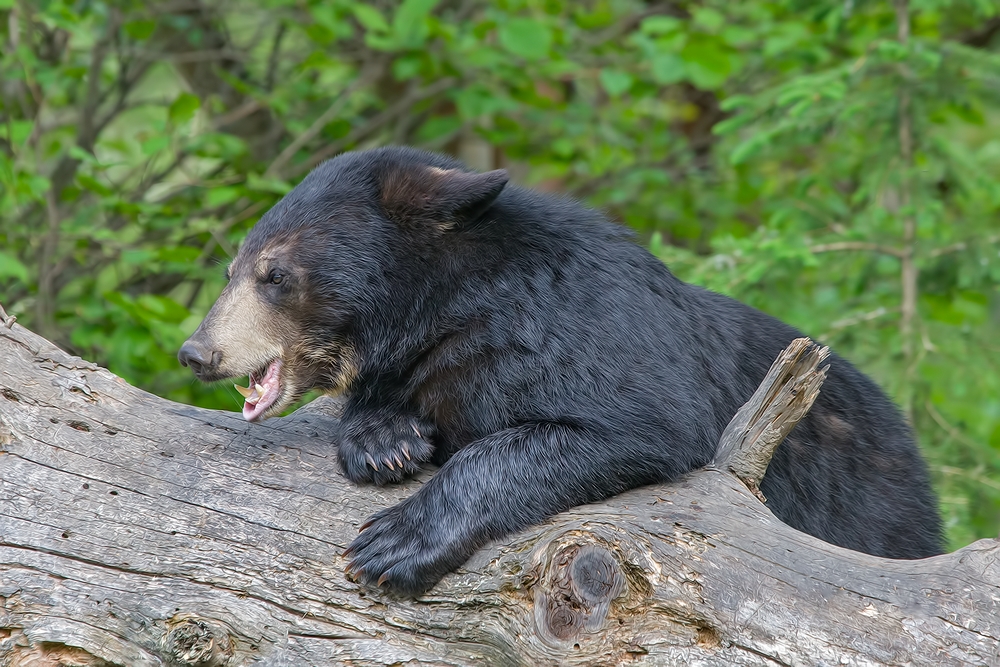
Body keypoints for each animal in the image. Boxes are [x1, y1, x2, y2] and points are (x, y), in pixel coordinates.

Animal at [182, 145, 944, 596]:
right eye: (230, 268)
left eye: (273, 273)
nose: (197, 351)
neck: (451, 303)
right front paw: (383, 438)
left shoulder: (587, 325)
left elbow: (629, 422)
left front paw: (397, 541)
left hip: (874, 510)